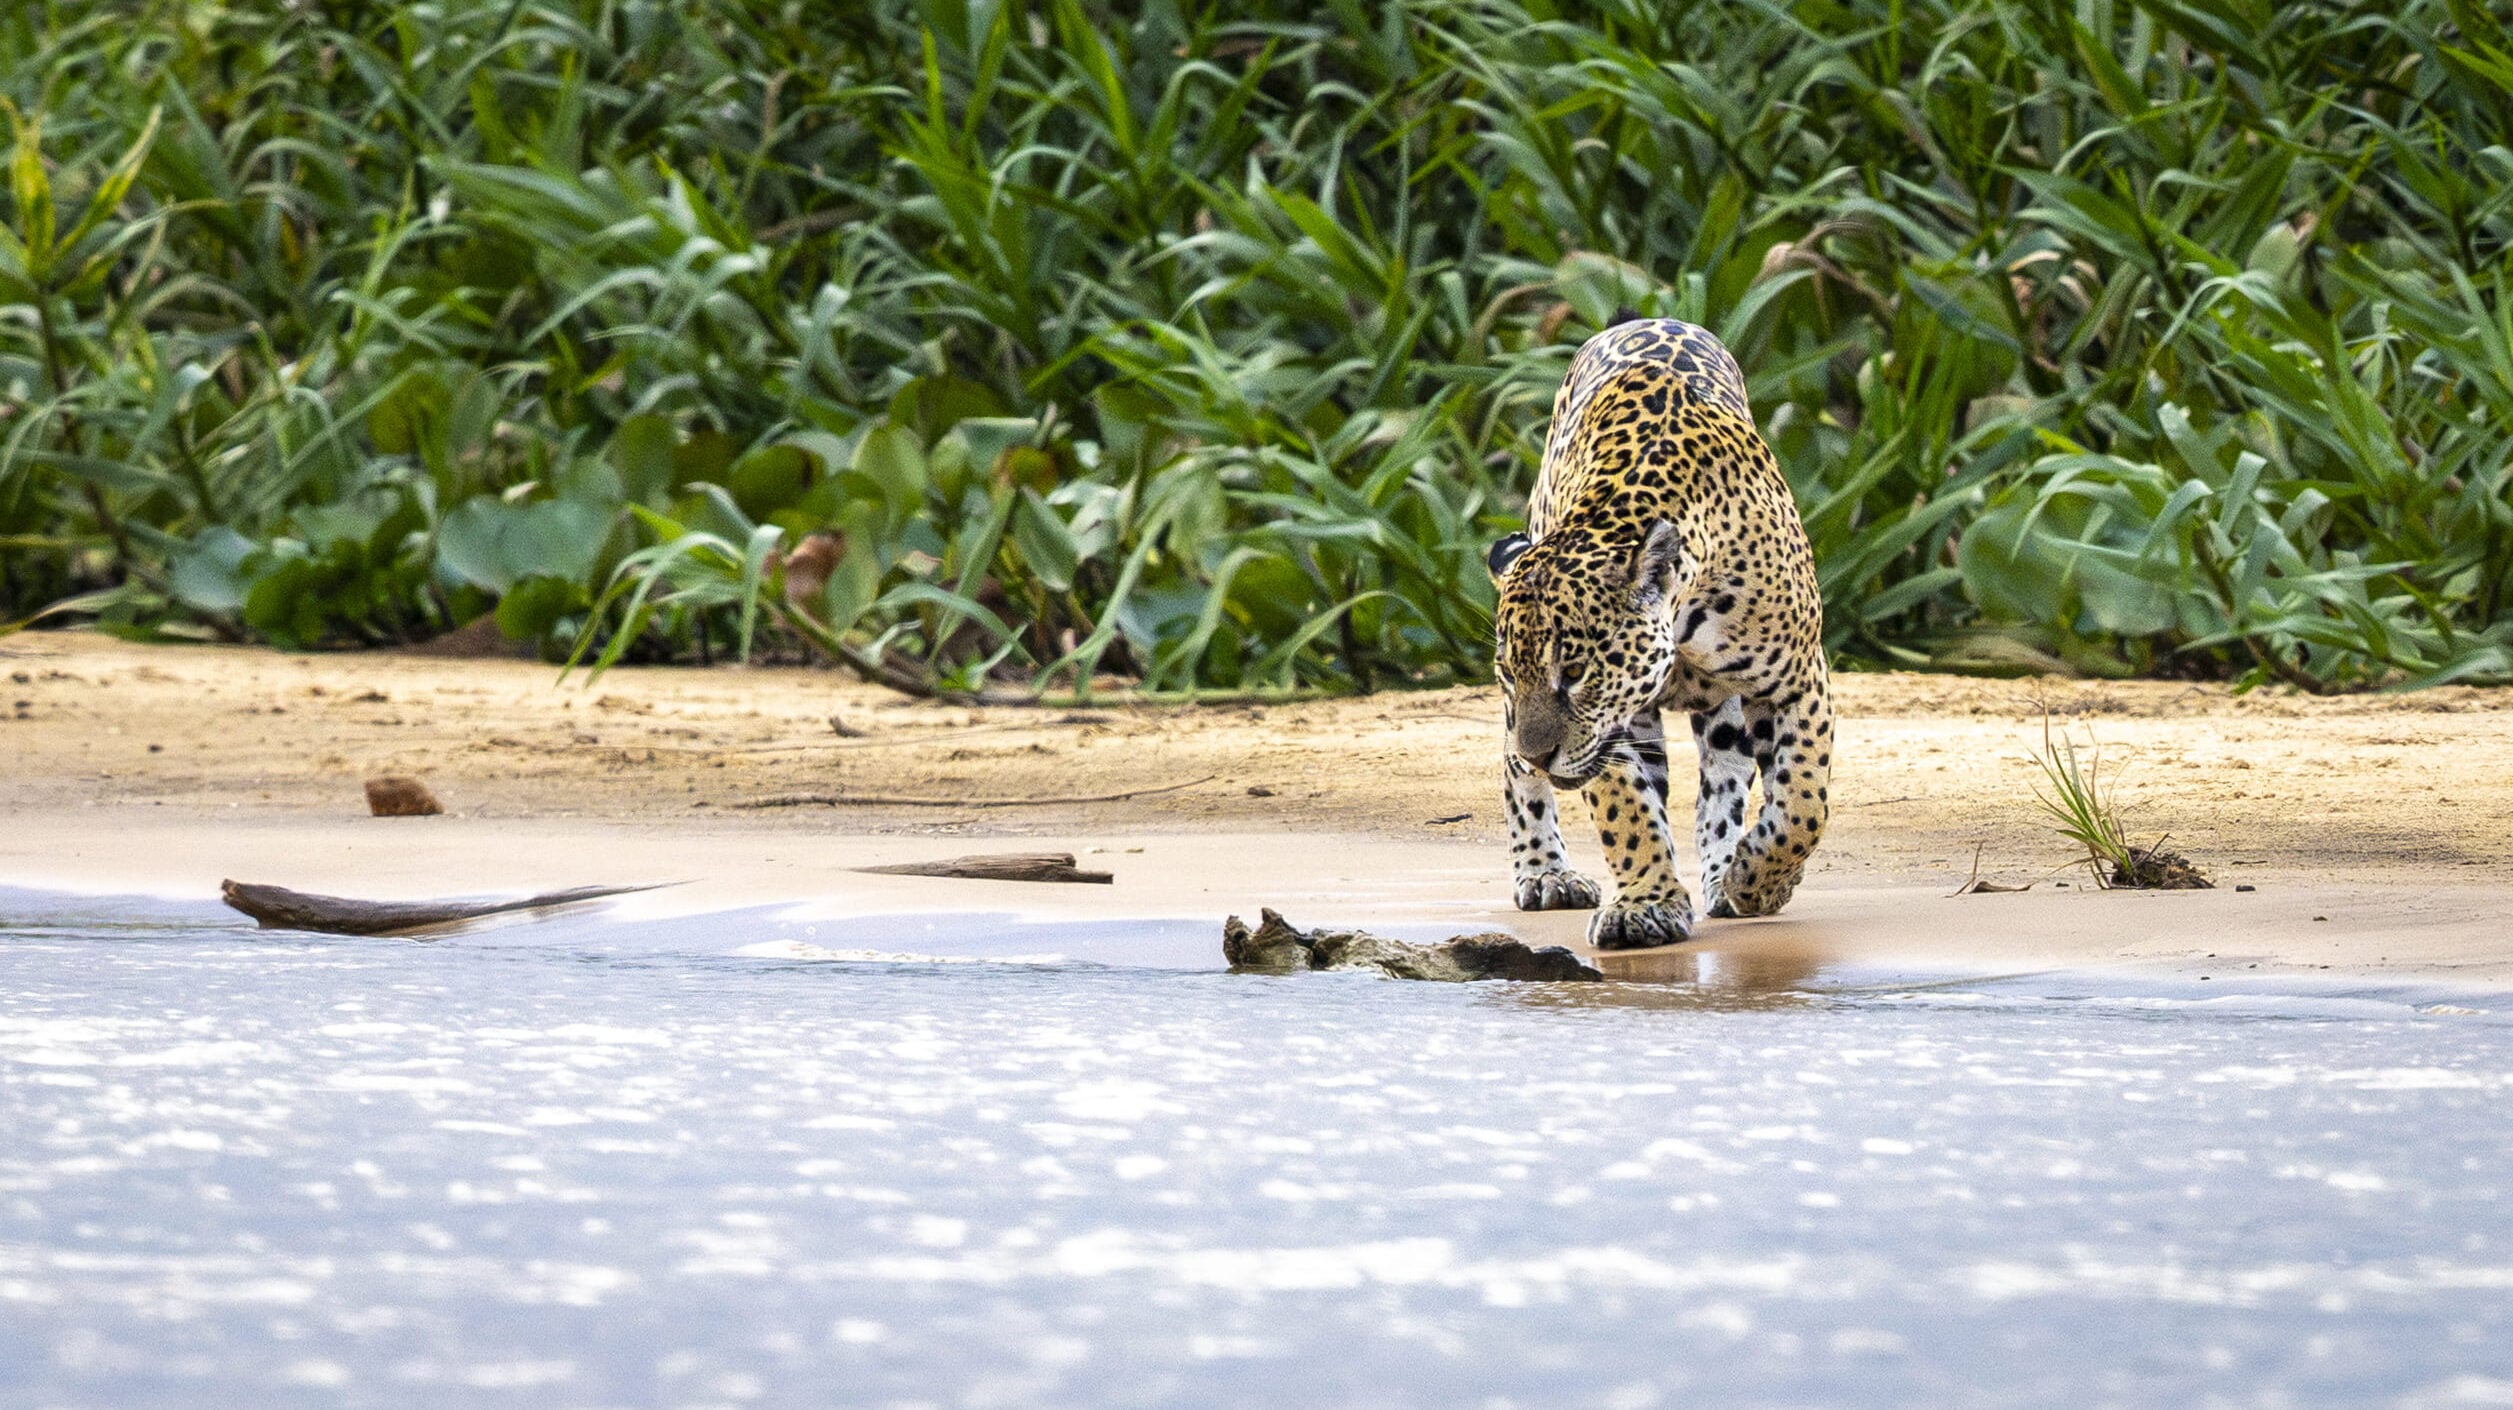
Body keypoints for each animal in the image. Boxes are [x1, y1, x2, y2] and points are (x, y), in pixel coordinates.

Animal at [1485, 316, 1833, 950]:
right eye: (1511, 673)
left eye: (1575, 672)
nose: (1541, 753)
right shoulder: (1608, 728)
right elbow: (1625, 809)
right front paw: (1645, 904)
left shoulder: (1798, 678)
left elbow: (1802, 801)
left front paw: (1756, 881)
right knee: (1513, 768)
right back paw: (1546, 872)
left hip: (1729, 713)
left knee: (1725, 782)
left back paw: (1723, 874)